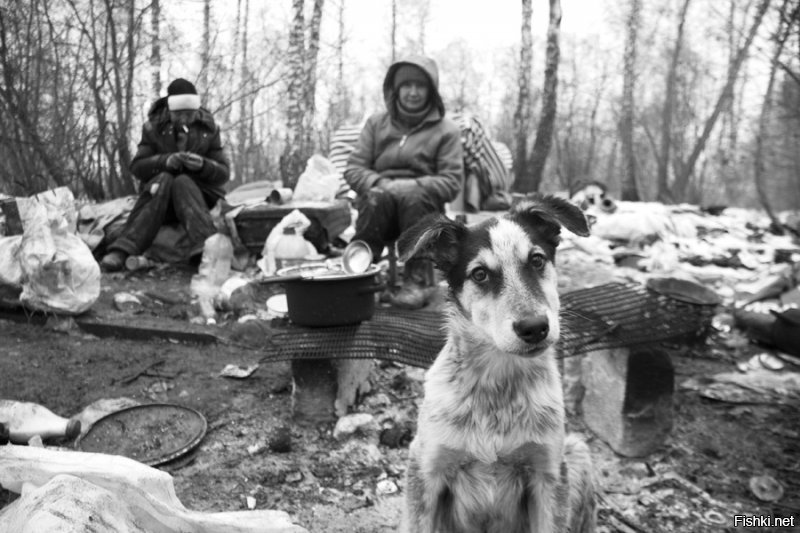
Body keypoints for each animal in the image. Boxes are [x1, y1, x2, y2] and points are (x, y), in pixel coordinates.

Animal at [398, 195, 592, 532]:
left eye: (537, 260)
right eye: (480, 274)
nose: (534, 328)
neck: (498, 385)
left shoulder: (549, 474)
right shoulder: (424, 467)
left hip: (578, 453)